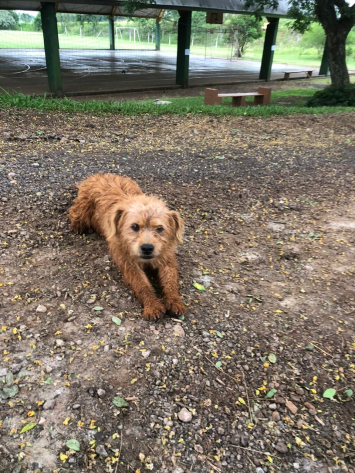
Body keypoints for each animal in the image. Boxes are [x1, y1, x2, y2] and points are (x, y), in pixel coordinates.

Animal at [69, 173, 186, 320]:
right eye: (135, 226)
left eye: (160, 228)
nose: (147, 248)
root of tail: (99, 174)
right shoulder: (128, 264)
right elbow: (142, 285)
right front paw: (152, 306)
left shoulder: (167, 259)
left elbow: (170, 281)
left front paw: (174, 301)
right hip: (82, 207)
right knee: (74, 213)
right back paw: (77, 226)